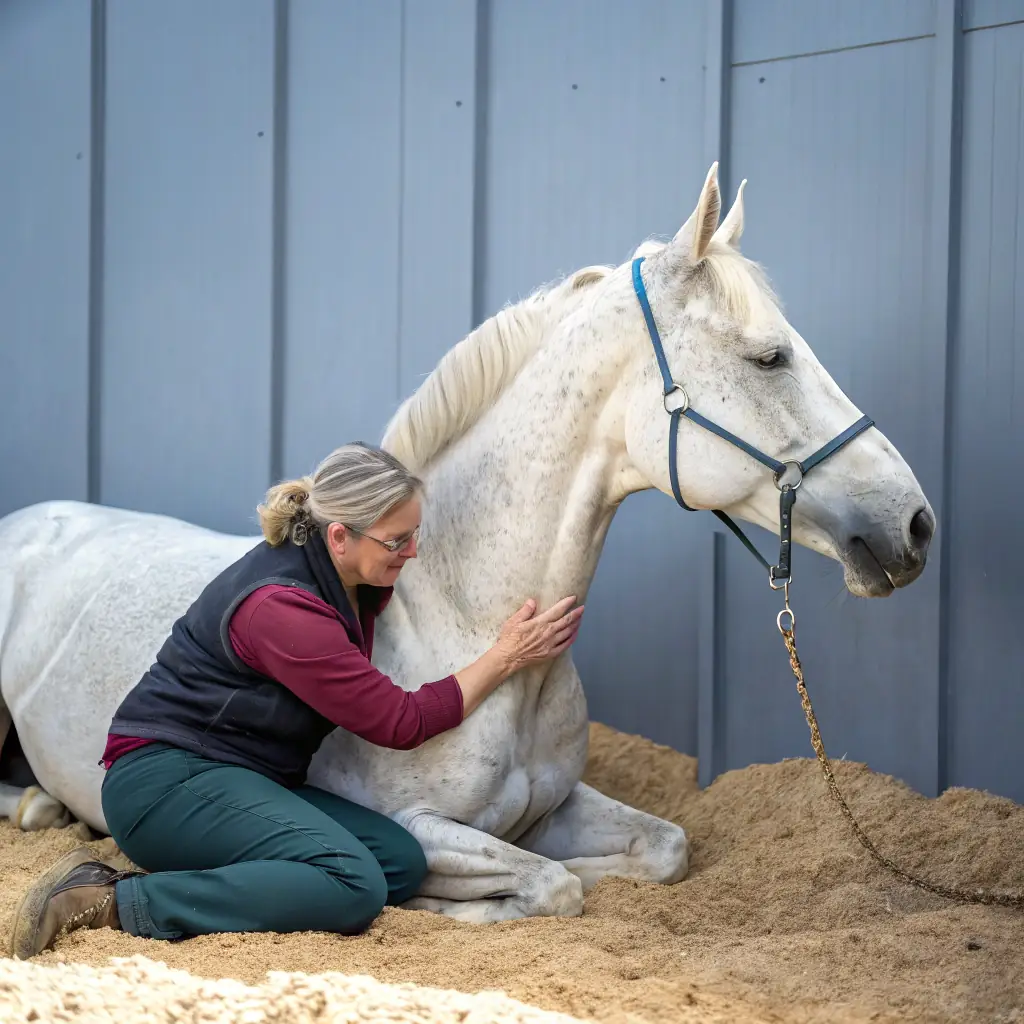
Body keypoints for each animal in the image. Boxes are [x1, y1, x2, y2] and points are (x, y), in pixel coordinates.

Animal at [0, 164, 934, 922]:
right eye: (770, 358)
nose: (913, 523)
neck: (457, 618)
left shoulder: (561, 804)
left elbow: (662, 850)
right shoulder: (415, 826)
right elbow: (548, 884)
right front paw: (458, 904)